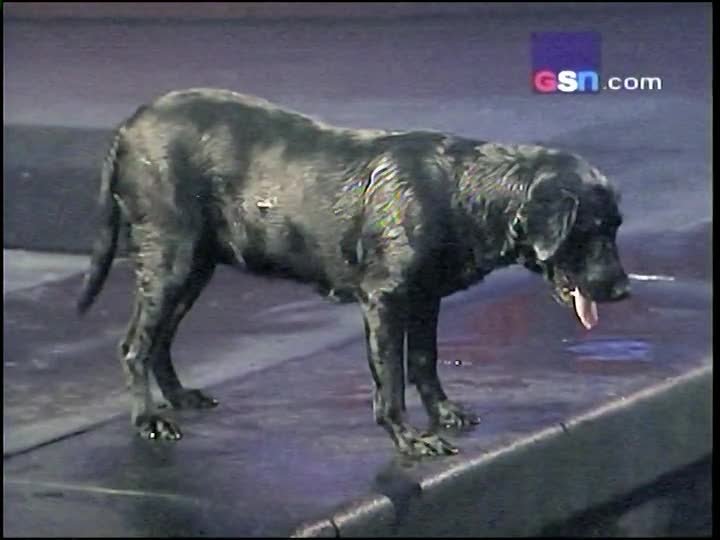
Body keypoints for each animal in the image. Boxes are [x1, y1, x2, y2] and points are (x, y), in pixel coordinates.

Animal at [77, 88, 630, 457]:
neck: (463, 192)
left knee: (161, 339)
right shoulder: (385, 300)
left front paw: (445, 415)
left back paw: (179, 398)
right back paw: (149, 419)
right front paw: (410, 438)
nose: (624, 290)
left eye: (616, 226)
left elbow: (425, 363)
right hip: (171, 260)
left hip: (195, 268)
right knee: (135, 344)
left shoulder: (425, 300)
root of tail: (129, 124)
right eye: (591, 229)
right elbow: (391, 380)